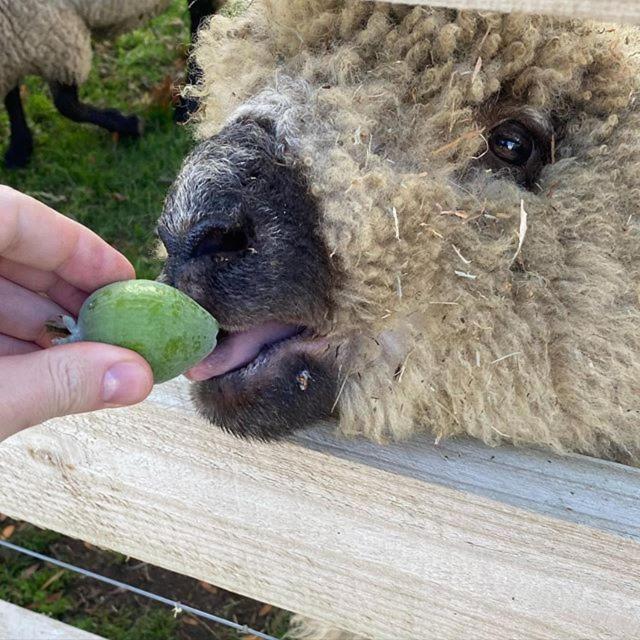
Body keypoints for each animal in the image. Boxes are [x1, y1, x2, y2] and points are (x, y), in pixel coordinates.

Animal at [0, 0, 221, 169]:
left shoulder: (55, 33)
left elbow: (66, 105)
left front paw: (130, 125)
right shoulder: (13, 43)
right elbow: (11, 97)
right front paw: (19, 149)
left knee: (201, 17)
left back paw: (189, 103)